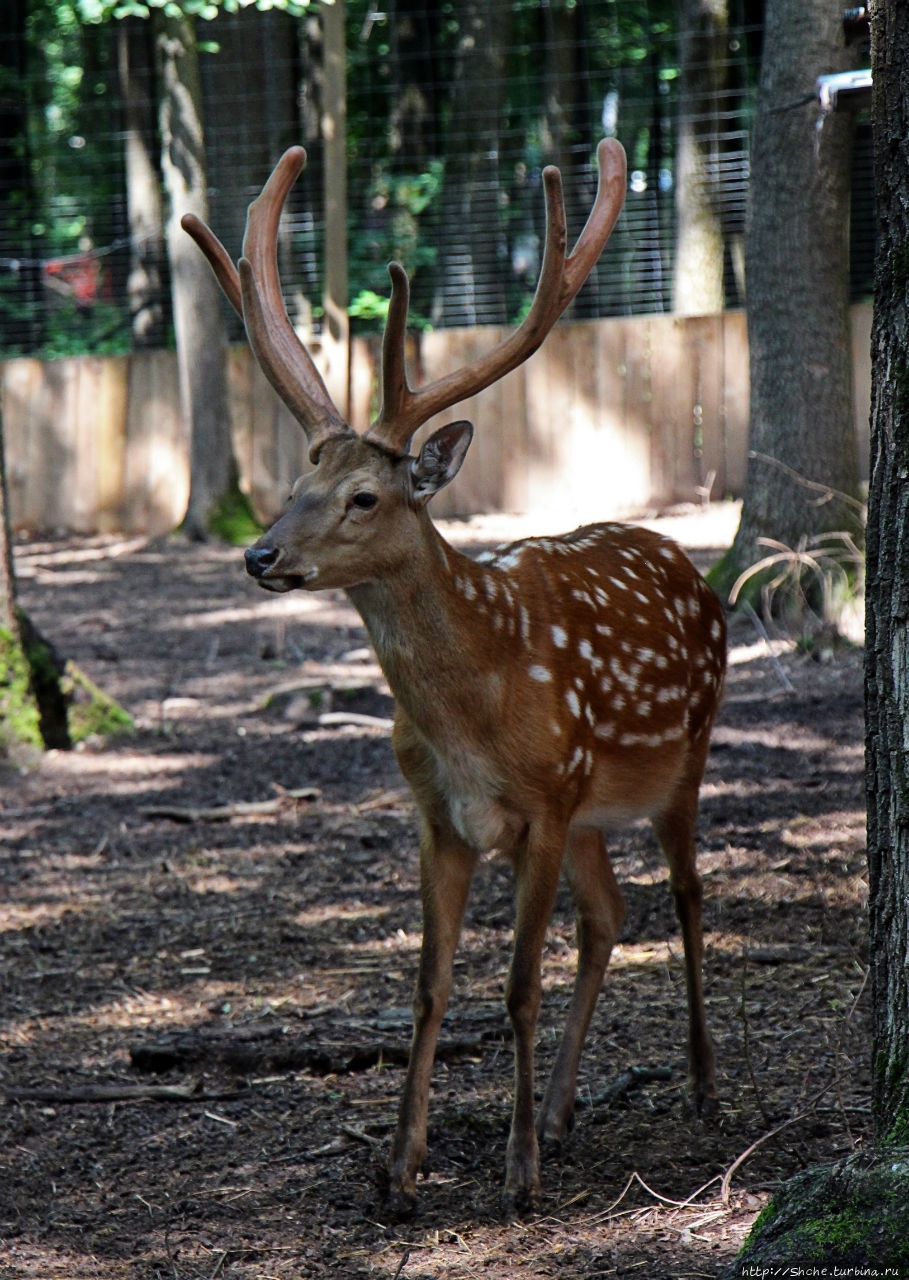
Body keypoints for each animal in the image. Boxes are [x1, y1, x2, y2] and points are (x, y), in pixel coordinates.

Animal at [183, 140, 727, 1218]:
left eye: (364, 495)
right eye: (296, 483)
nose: (260, 555)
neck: (472, 712)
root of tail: (688, 565)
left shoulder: (544, 806)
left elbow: (515, 985)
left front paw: (515, 1176)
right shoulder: (440, 815)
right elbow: (430, 985)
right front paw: (400, 1168)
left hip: (680, 755)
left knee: (688, 895)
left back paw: (697, 1085)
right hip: (595, 808)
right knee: (610, 915)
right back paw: (560, 1112)